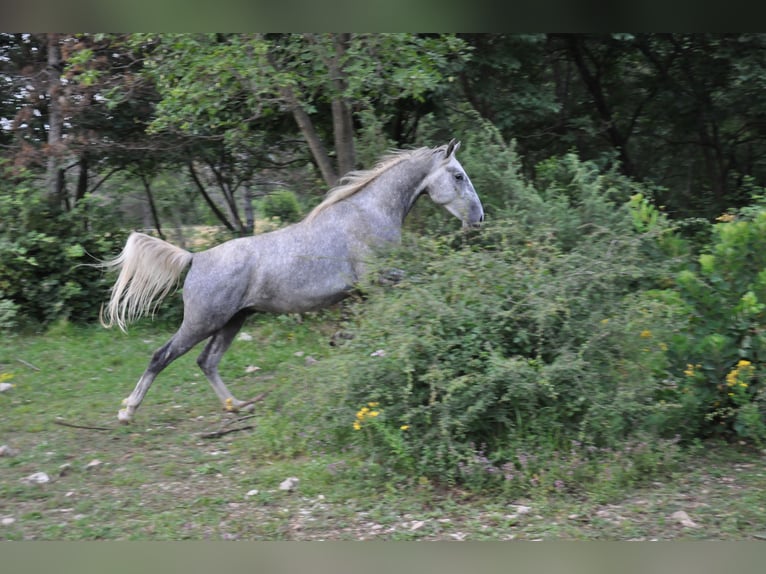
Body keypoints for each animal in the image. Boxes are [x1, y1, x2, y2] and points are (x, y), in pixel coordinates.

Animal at [100, 141, 486, 424]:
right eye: (458, 175)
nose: (479, 219)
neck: (368, 214)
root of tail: (196, 258)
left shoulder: (365, 289)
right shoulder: (376, 279)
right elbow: (412, 285)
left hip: (233, 321)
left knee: (206, 362)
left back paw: (238, 406)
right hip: (202, 321)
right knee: (161, 356)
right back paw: (128, 412)